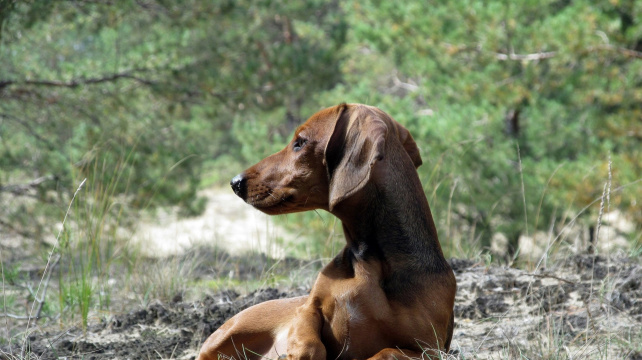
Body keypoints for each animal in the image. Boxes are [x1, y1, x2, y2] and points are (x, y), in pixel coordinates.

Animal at [200, 104, 456, 360]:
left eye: (300, 142)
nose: (235, 182)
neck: (369, 262)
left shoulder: (428, 349)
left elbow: (386, 352)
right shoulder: (307, 308)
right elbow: (308, 340)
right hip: (223, 336)